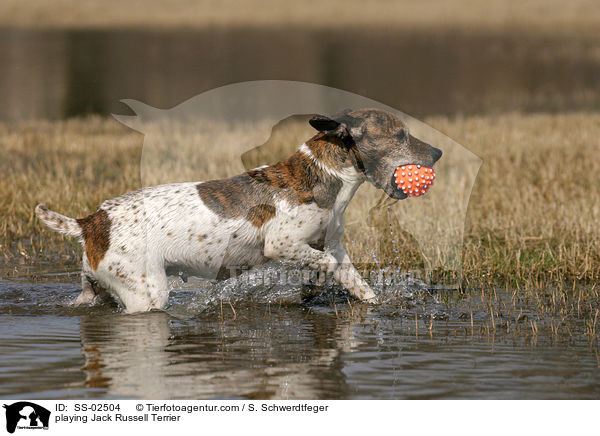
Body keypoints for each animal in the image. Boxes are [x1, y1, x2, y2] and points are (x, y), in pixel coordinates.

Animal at [36, 109, 440, 314]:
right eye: (401, 136)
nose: (437, 153)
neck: (324, 174)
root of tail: (91, 222)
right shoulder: (283, 245)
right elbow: (322, 267)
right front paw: (308, 287)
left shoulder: (334, 246)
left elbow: (357, 282)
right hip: (146, 294)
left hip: (96, 290)